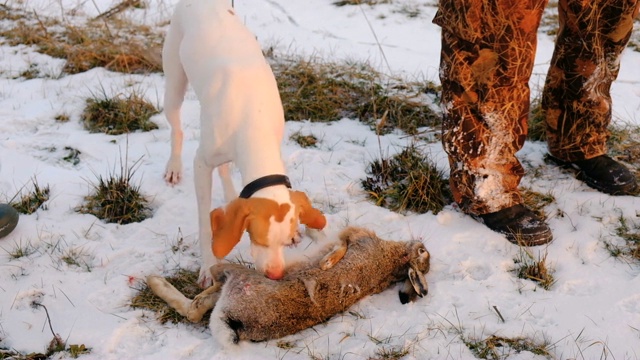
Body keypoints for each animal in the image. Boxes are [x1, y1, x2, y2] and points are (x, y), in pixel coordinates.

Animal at [162, 0, 328, 286]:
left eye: (287, 242)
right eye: (259, 240)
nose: (275, 274)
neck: (253, 116)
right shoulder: (201, 164)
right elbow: (205, 226)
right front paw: (208, 267)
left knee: (224, 167)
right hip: (173, 85)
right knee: (177, 130)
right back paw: (173, 166)